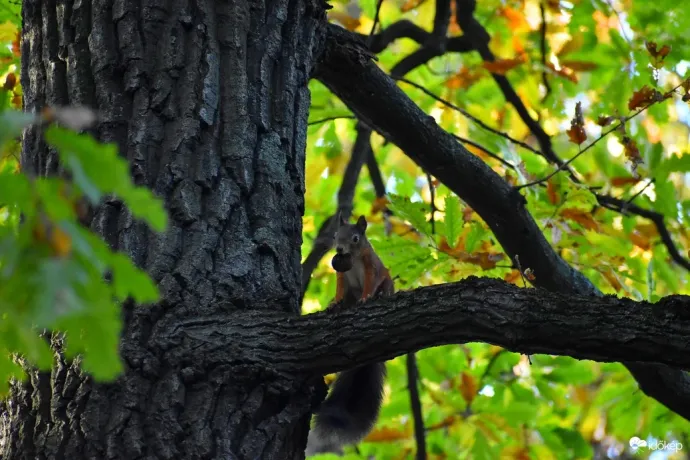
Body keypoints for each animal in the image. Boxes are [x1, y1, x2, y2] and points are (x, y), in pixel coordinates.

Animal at [306, 214, 396, 454]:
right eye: (337, 235)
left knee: (383, 286)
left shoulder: (371, 266)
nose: (339, 248)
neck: (353, 259)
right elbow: (339, 288)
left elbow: (370, 282)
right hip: (350, 294)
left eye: (355, 238)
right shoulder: (341, 274)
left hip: (387, 282)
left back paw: (379, 297)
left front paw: (366, 298)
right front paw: (333, 304)